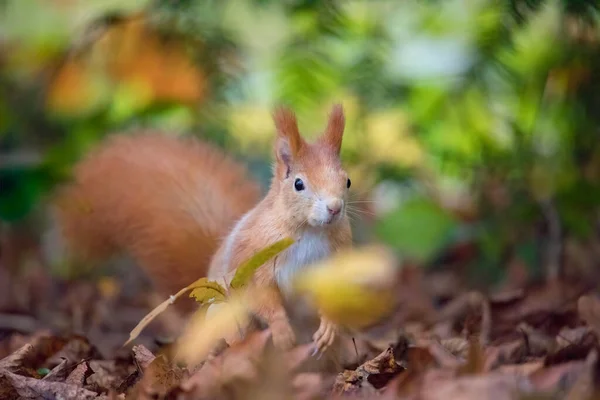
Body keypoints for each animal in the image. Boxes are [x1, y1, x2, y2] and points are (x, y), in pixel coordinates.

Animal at [52, 104, 352, 354]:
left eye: (347, 181)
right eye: (298, 184)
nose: (335, 208)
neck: (310, 232)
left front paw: (329, 325)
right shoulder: (254, 258)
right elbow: (262, 296)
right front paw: (281, 331)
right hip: (227, 317)